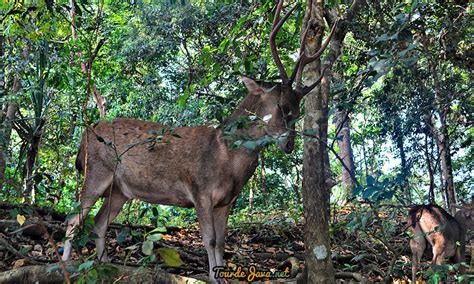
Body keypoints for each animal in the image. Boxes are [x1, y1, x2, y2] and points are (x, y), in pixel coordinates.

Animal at [61, 1, 336, 282]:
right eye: (281, 107)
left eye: (299, 112)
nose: (289, 145)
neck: (226, 158)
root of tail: (85, 136)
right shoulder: (199, 190)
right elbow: (210, 240)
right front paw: (214, 277)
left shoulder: (227, 200)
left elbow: (223, 242)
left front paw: (221, 274)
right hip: (96, 170)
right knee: (73, 219)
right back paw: (66, 263)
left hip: (120, 190)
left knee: (98, 223)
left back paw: (103, 263)